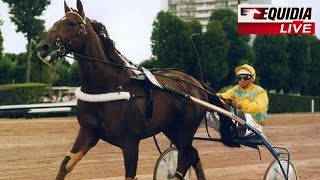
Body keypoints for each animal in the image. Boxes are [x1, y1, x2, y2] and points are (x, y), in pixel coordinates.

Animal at [36, 0, 235, 179]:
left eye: (71, 23)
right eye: (56, 22)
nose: (42, 47)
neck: (106, 87)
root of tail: (197, 83)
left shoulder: (130, 142)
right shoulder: (88, 132)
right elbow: (65, 164)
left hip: (186, 129)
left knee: (185, 159)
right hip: (171, 128)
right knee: (192, 155)